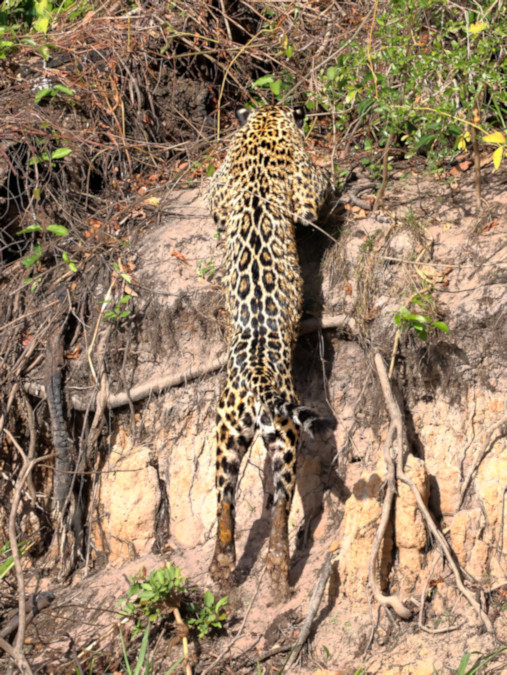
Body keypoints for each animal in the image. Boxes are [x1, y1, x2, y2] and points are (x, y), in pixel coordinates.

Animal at [208, 104, 337, 600]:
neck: (263, 125)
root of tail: (257, 373)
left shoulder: (220, 191)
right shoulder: (301, 191)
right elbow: (318, 190)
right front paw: (341, 173)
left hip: (228, 431)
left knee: (225, 500)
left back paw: (224, 568)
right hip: (285, 431)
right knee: (282, 500)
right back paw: (279, 573)